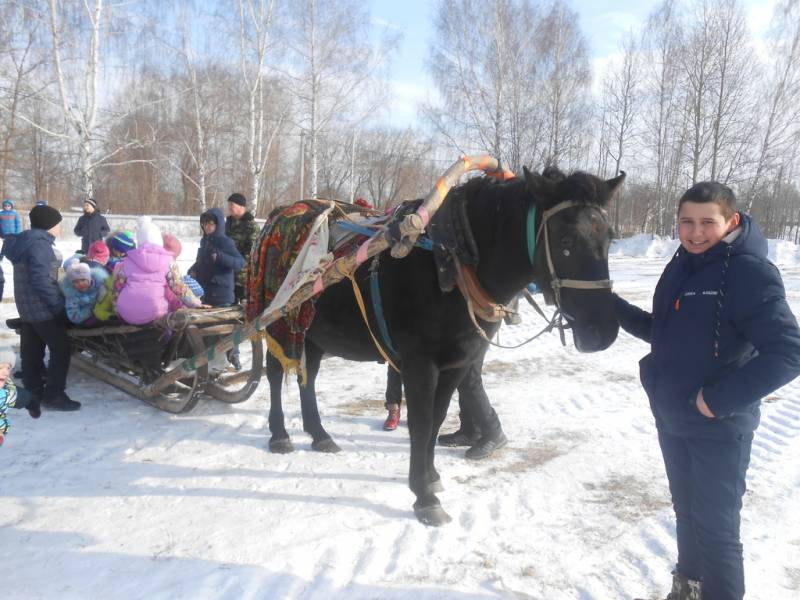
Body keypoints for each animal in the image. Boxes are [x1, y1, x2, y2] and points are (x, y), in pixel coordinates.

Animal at [264, 168, 624, 524]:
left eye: (608, 238)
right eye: (566, 240)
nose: (603, 331)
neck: (453, 263)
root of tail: (277, 215)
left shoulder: (457, 364)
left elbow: (436, 420)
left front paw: (430, 476)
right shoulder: (420, 365)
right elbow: (421, 425)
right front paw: (424, 497)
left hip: (312, 332)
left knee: (307, 377)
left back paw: (319, 434)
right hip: (276, 323)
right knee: (273, 375)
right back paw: (280, 435)